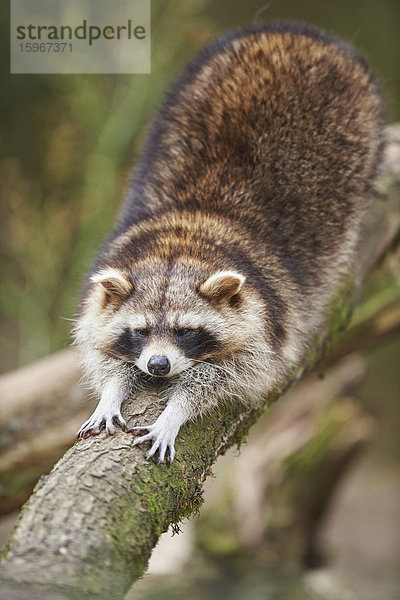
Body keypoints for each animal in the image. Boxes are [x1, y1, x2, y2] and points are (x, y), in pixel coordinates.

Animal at [75, 22, 384, 464]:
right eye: (140, 330)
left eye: (187, 331)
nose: (157, 366)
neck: (181, 242)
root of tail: (297, 33)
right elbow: (103, 355)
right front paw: (111, 393)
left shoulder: (267, 322)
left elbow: (226, 377)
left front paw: (174, 412)